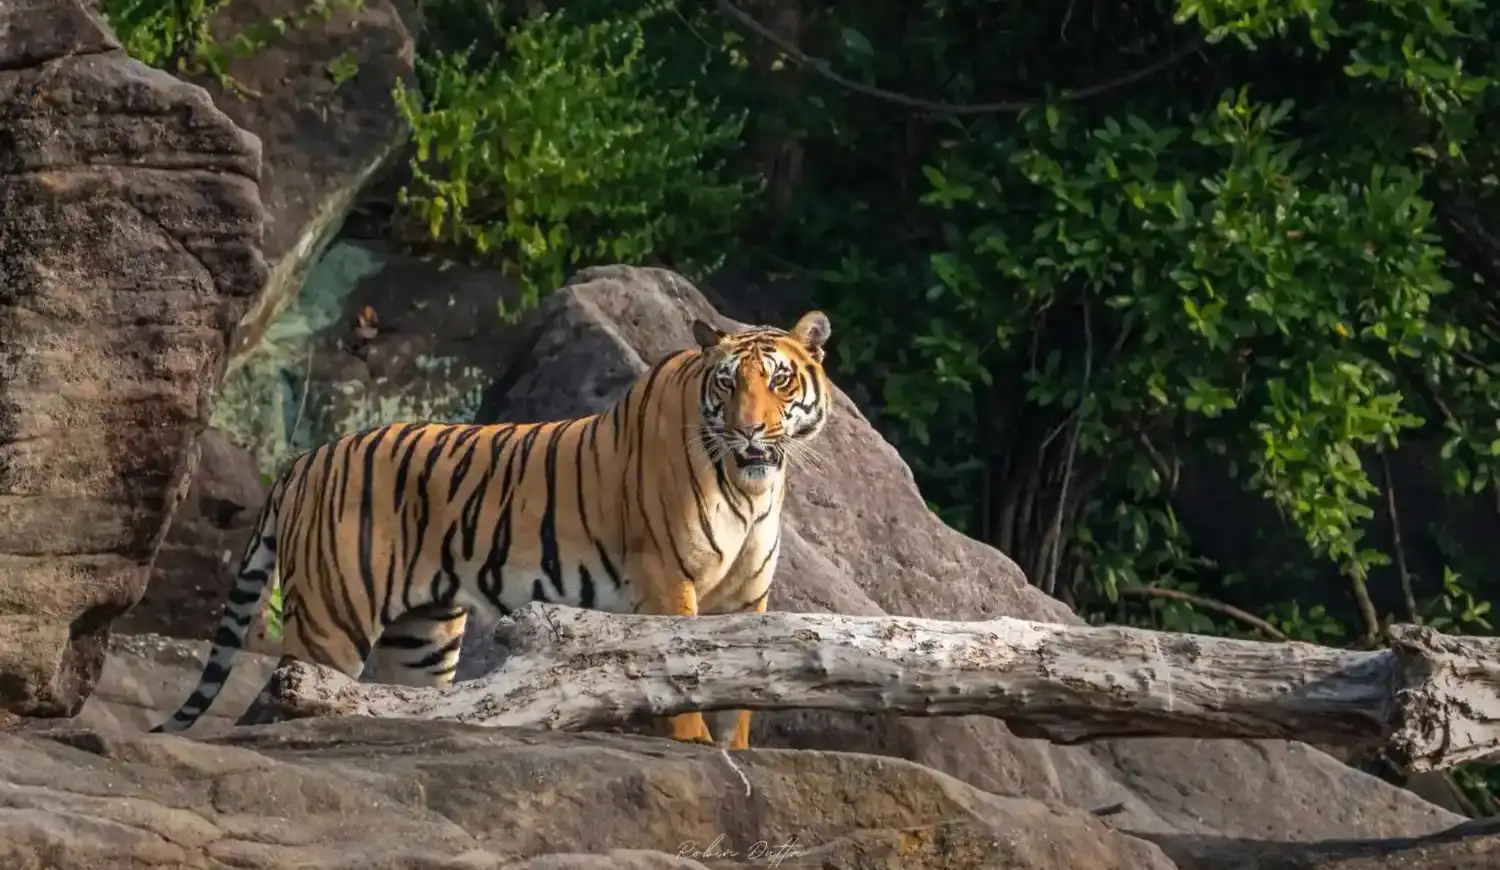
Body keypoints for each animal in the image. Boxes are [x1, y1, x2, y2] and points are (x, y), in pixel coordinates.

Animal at [150, 310, 834, 750]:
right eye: (728, 383)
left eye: (778, 380)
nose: (749, 430)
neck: (749, 486)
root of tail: (303, 459)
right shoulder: (667, 577)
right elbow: (684, 671)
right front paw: (693, 744)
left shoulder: (745, 596)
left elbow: (744, 688)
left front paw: (735, 751)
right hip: (330, 617)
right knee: (289, 694)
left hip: (421, 635)